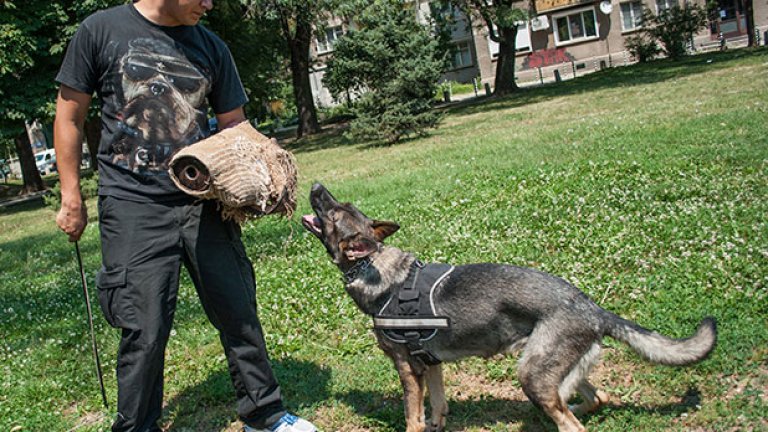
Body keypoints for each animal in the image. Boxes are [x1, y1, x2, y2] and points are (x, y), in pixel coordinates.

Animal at [300, 183, 712, 432]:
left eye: (333, 214)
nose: (316, 186)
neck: (375, 269)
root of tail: (592, 308)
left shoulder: (408, 370)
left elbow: (412, 419)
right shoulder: (431, 366)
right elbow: (438, 408)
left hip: (530, 374)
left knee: (572, 422)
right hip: (549, 371)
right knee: (593, 399)